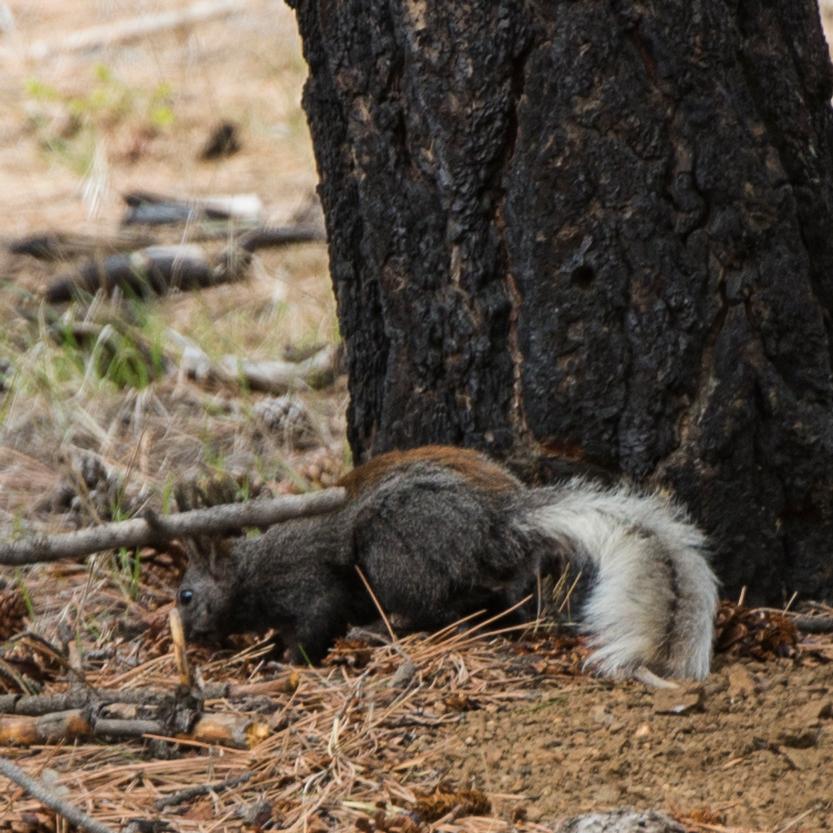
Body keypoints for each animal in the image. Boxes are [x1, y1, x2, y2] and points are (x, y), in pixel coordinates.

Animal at [176, 445, 718, 680]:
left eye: (185, 595)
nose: (187, 639)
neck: (250, 573)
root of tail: (497, 522)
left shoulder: (305, 584)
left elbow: (315, 623)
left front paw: (286, 662)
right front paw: (268, 648)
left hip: (392, 549)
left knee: (439, 611)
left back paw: (382, 629)